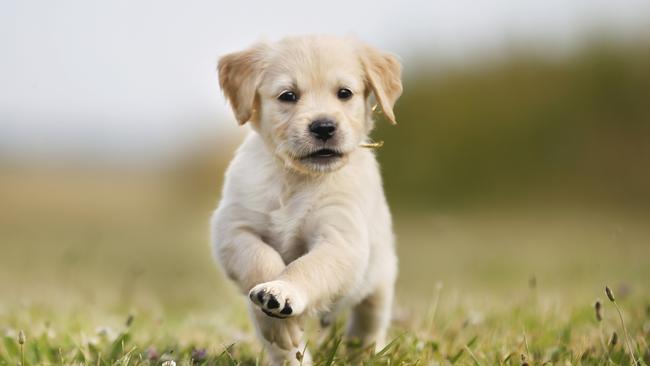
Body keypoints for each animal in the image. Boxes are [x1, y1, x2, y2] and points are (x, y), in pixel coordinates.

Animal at [210, 35, 400, 366]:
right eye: (288, 95)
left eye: (344, 93)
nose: (324, 127)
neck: (297, 178)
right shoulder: (233, 229)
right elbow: (261, 260)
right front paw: (279, 322)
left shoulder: (341, 239)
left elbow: (307, 267)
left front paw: (283, 290)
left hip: (380, 279)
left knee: (368, 324)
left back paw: (364, 353)